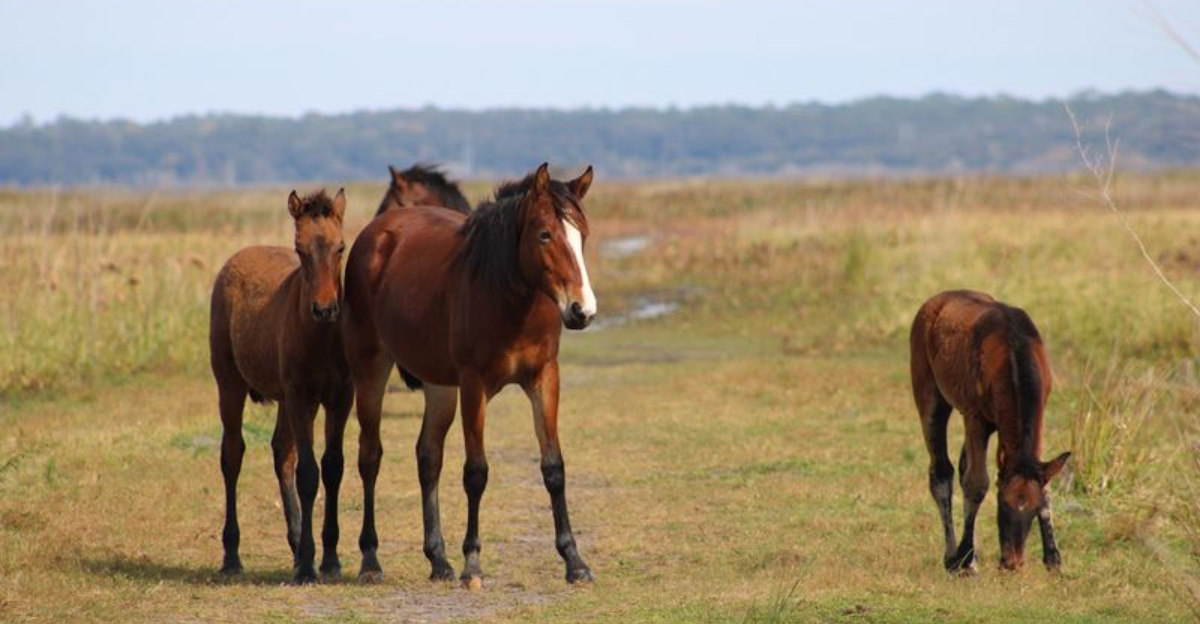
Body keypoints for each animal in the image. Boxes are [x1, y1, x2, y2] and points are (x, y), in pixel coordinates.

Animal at [209, 189, 352, 584]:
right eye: (299, 248)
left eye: (340, 247)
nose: (325, 309)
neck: (322, 338)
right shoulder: (301, 397)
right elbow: (309, 474)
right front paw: (307, 568)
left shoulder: (339, 399)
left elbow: (332, 467)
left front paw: (329, 560)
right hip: (230, 384)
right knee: (232, 455)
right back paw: (232, 555)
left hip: (286, 401)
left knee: (281, 454)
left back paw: (296, 543)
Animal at [342, 163, 597, 587]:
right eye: (545, 234)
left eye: (583, 236)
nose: (582, 311)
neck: (508, 296)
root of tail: (376, 233)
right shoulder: (474, 385)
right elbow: (476, 472)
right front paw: (473, 564)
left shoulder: (544, 379)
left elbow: (553, 468)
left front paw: (575, 562)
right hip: (370, 370)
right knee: (370, 456)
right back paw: (371, 560)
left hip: (440, 387)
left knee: (428, 456)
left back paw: (438, 559)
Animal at [910, 290, 1071, 573]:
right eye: (1002, 504)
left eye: (1033, 509)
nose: (1013, 562)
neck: (1012, 349)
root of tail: (935, 301)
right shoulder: (975, 418)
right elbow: (976, 483)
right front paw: (965, 558)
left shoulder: (1040, 414)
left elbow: (1046, 486)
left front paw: (1053, 558)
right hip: (930, 398)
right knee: (941, 472)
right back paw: (953, 557)